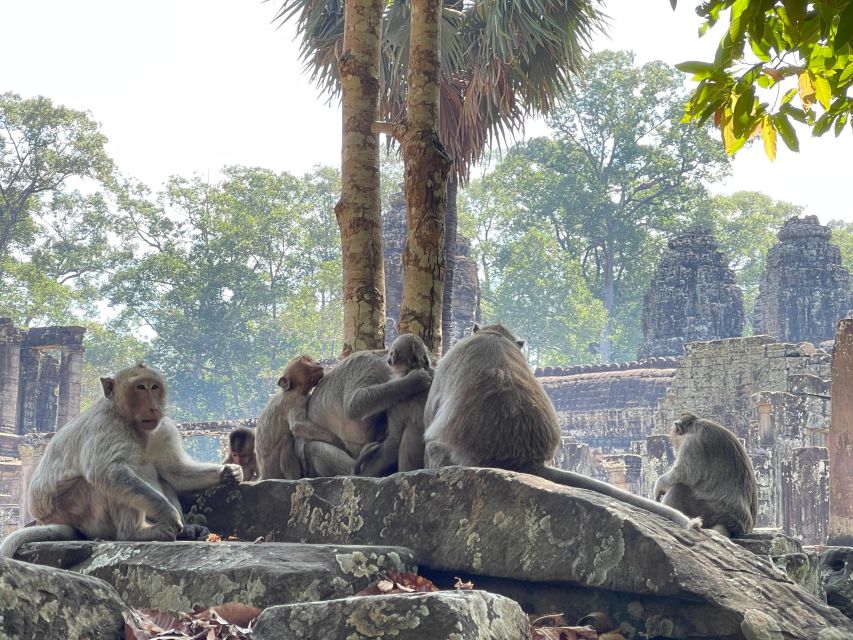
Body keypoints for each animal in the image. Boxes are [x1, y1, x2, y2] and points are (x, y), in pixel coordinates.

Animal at [0, 362, 243, 556]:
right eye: (140, 387)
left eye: (154, 387)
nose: (153, 406)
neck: (132, 425)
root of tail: (48, 520)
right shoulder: (105, 426)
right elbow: (107, 472)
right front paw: (168, 513)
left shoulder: (163, 429)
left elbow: (175, 471)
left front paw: (228, 473)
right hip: (76, 512)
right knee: (105, 481)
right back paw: (136, 532)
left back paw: (186, 530)